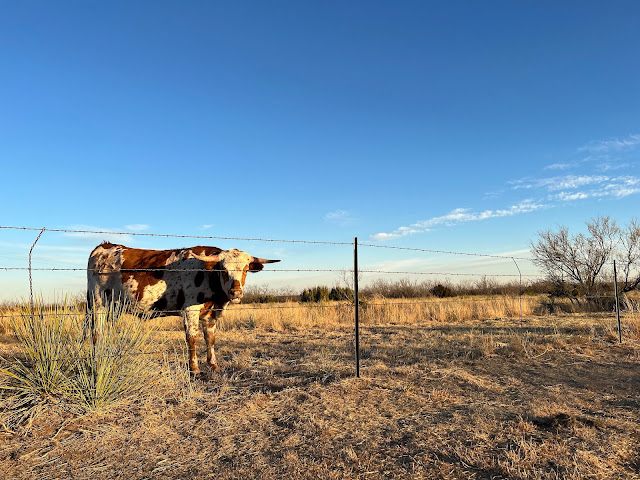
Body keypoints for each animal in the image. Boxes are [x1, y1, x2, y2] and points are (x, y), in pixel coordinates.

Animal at [87, 242, 280, 373]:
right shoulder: (189, 310)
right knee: (96, 333)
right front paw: (194, 369)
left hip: (114, 307)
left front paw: (213, 365)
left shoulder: (210, 314)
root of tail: (104, 246)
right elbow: (192, 338)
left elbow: (210, 339)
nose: (236, 292)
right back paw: (96, 360)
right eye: (223, 269)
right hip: (97, 304)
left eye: (246, 269)